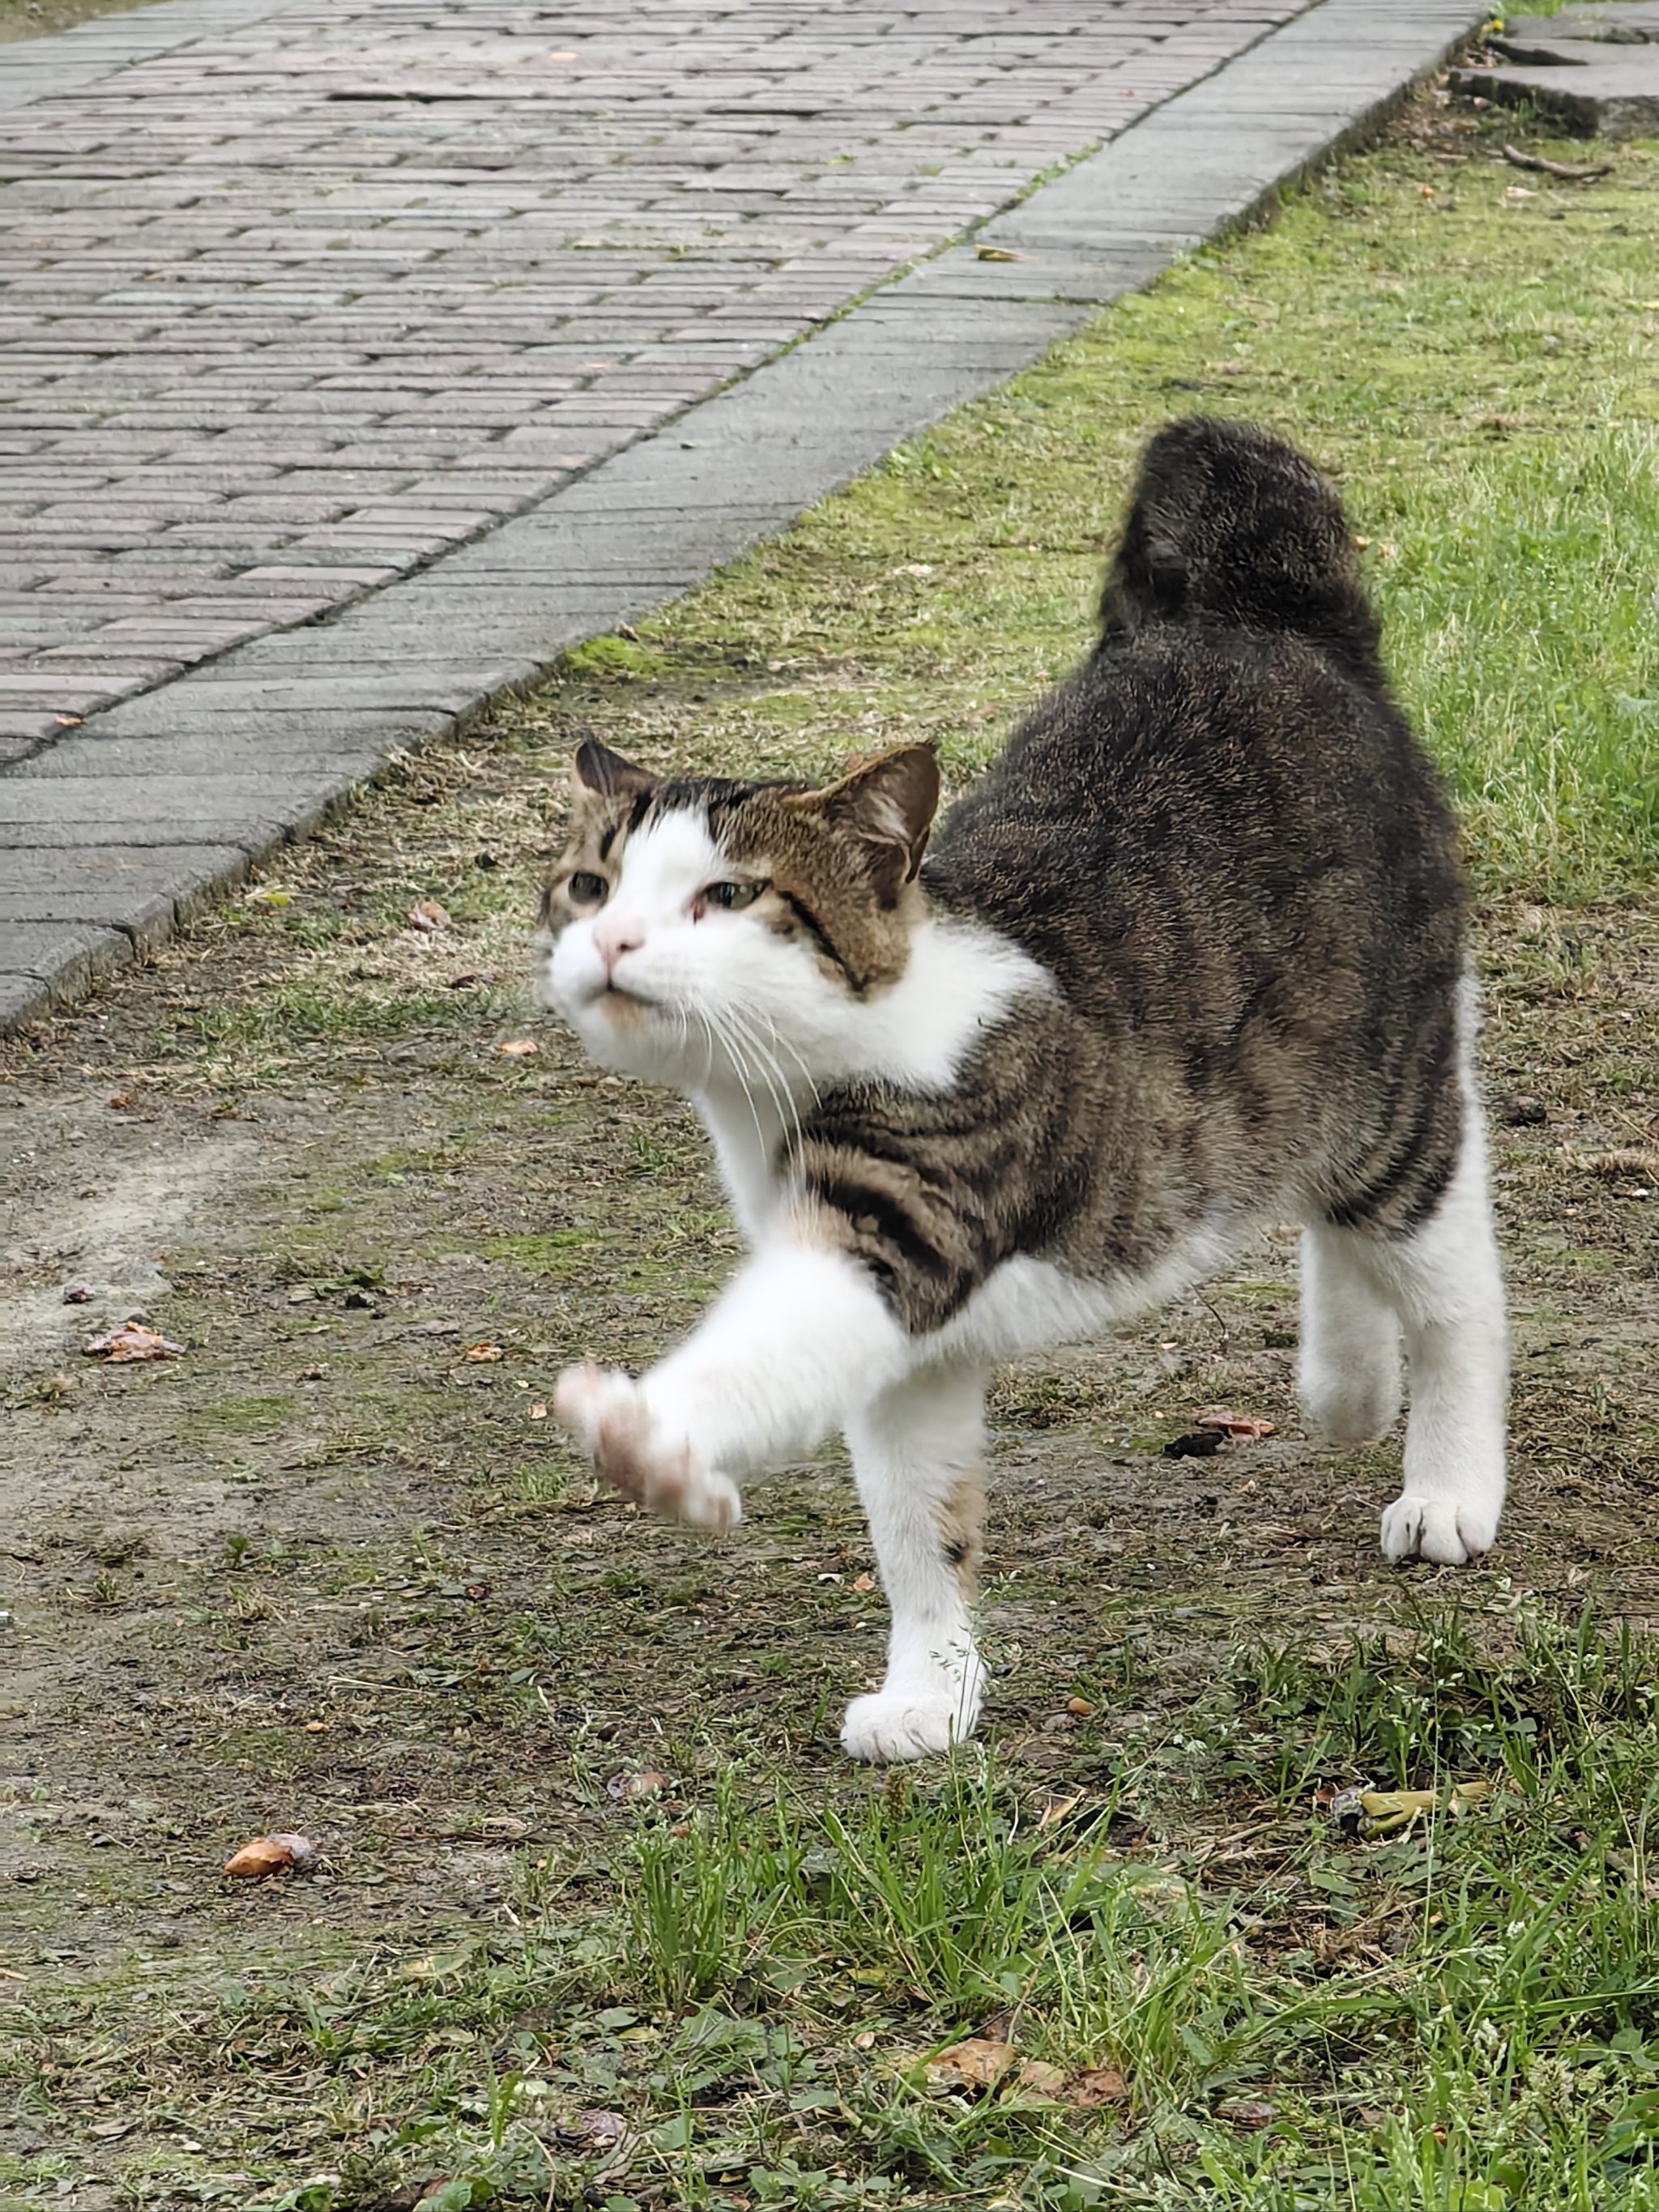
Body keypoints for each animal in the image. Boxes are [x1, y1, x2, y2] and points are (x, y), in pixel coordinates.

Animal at [539, 416, 1512, 1760]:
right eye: (590, 885)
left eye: (728, 896)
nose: (611, 942)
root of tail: (1266, 616)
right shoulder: (916, 1358)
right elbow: (918, 1520)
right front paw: (931, 1686)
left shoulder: (909, 1209)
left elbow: (773, 1346)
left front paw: (650, 1435)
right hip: (1285, 1080)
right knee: (1315, 1200)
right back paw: (1348, 1381)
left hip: (1388, 1078)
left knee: (1447, 1262)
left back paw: (1450, 1479)